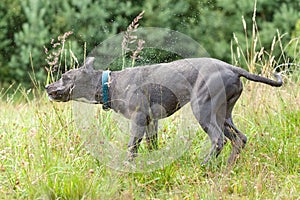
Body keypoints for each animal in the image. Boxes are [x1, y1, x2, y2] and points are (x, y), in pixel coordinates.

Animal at [45, 57, 282, 165]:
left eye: (65, 77)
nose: (48, 87)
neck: (109, 84)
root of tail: (232, 68)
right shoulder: (152, 121)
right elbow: (152, 145)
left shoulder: (139, 119)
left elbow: (132, 147)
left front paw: (128, 166)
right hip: (223, 115)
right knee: (239, 138)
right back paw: (228, 165)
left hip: (203, 109)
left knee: (218, 139)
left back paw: (205, 165)